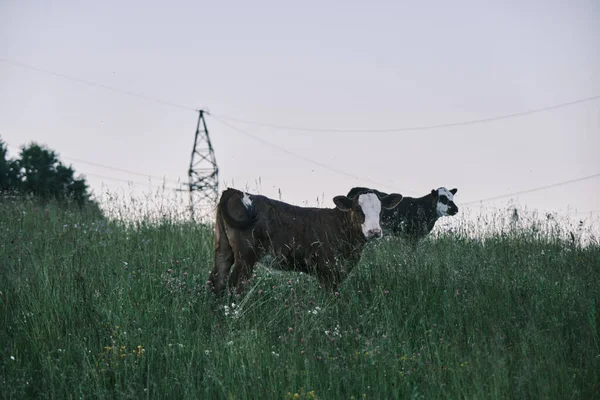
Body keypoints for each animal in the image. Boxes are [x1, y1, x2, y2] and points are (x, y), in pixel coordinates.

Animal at [207, 187, 404, 294]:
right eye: (357, 209)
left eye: (380, 210)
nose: (374, 231)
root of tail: (234, 191)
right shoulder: (327, 270)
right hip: (246, 255)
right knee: (234, 284)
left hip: (223, 247)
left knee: (217, 279)